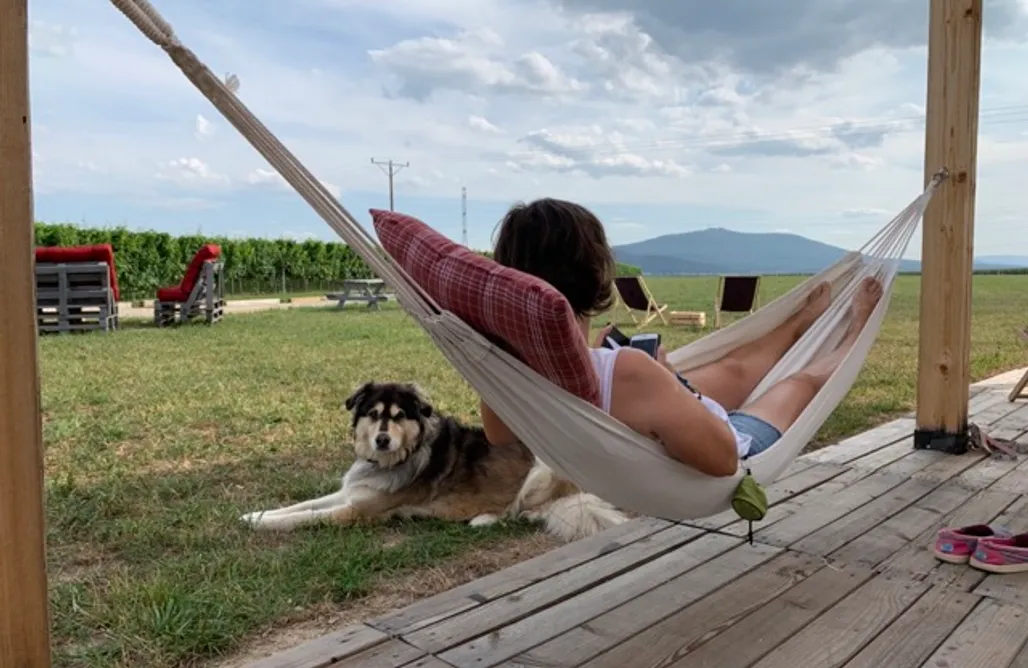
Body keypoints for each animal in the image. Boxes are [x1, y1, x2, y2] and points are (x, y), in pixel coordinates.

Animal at [240, 382, 625, 538]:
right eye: (373, 414)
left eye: (399, 416)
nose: (381, 439)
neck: (398, 457)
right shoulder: (350, 493)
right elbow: (302, 505)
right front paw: (254, 514)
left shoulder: (357, 512)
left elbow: (304, 518)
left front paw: (261, 524)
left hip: (540, 471)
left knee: (525, 511)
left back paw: (485, 518)